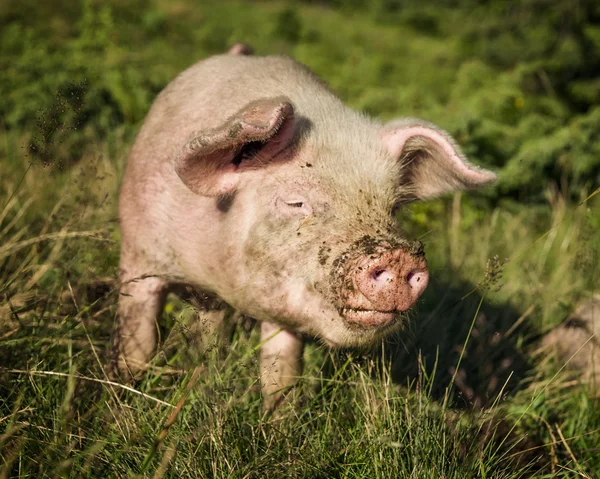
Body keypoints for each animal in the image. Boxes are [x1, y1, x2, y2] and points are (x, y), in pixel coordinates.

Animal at [110, 45, 494, 408]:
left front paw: (277, 421)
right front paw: (126, 391)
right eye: (296, 203)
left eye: (393, 207)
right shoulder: (138, 255)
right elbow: (138, 340)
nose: (398, 257)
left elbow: (281, 374)